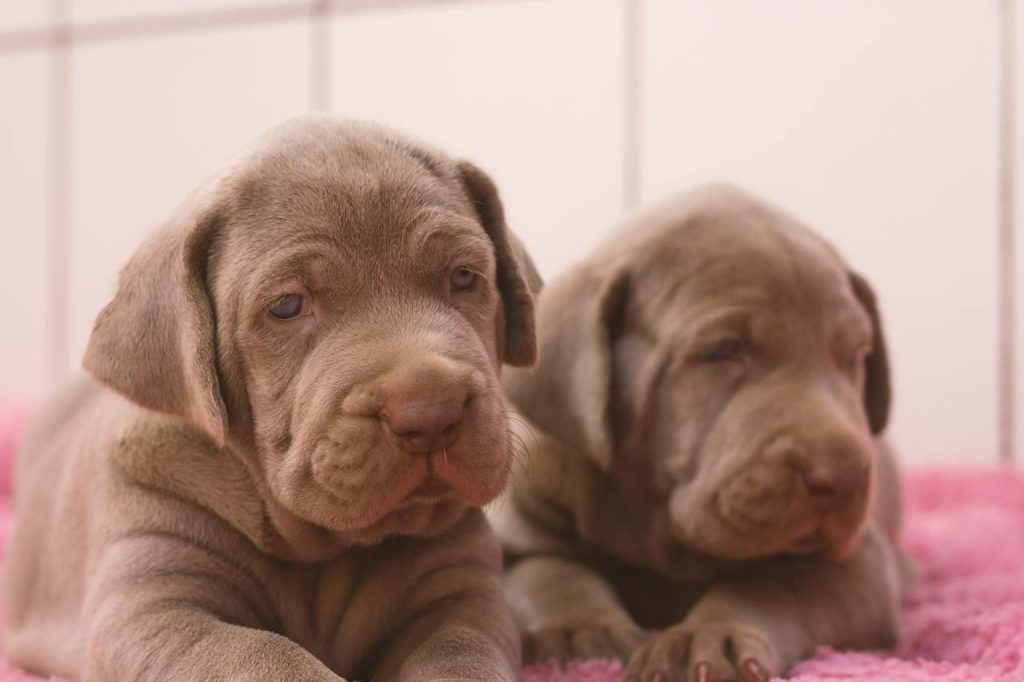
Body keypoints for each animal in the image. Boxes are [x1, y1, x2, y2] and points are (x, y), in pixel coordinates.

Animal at [4, 114, 540, 675]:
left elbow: (460, 654)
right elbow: (261, 651)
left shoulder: (462, 593)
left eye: (464, 276)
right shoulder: (156, 606)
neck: (320, 551)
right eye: (287, 306)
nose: (432, 411)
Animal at [491, 183, 909, 675]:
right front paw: (578, 630)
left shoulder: (862, 564)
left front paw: (708, 637)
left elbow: (769, 584)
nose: (842, 476)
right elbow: (548, 570)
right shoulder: (520, 529)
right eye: (723, 350)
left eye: (855, 355)